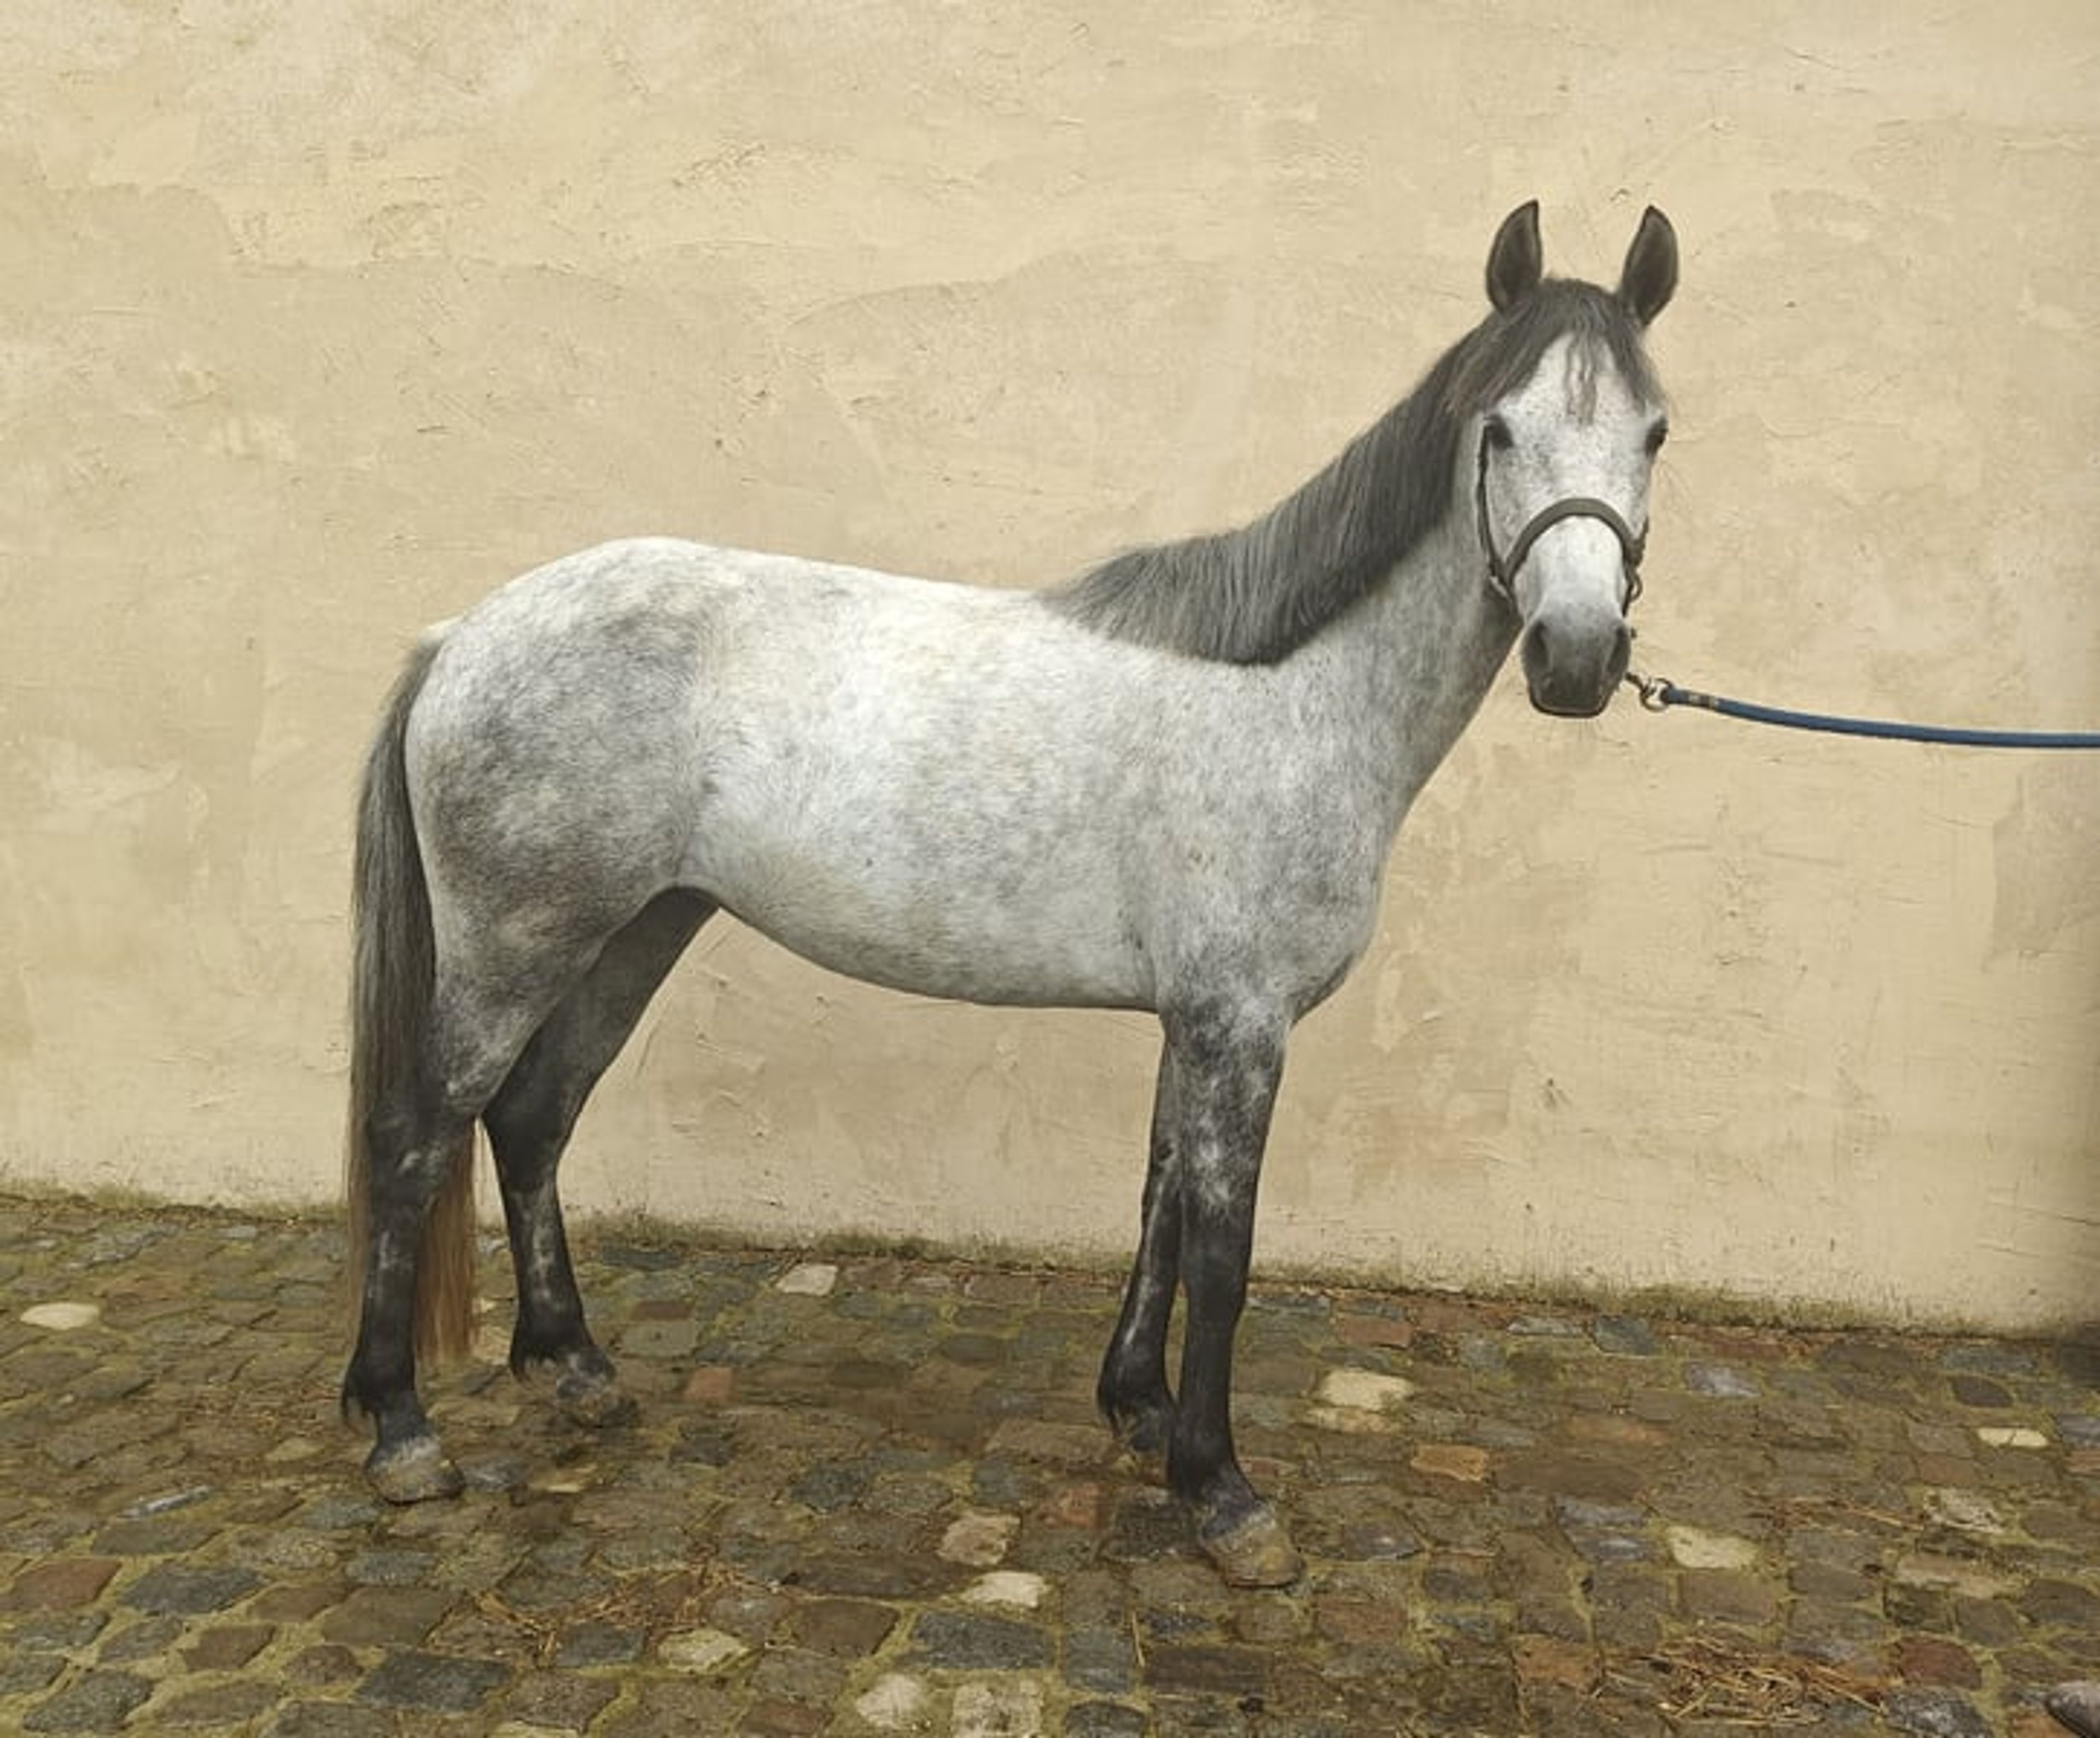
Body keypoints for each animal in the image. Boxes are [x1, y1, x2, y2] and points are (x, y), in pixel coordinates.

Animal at [342, 199, 1678, 1587]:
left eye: (1653, 433)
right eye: (1499, 428)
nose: (1578, 657)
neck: (1293, 695)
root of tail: (461, 636)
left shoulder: (1194, 1018)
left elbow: (1159, 1202)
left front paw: (1140, 1411)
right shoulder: (1241, 1021)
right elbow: (1224, 1247)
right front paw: (1225, 1494)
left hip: (632, 929)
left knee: (533, 1119)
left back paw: (575, 1368)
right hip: (514, 943)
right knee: (416, 1133)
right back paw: (401, 1432)